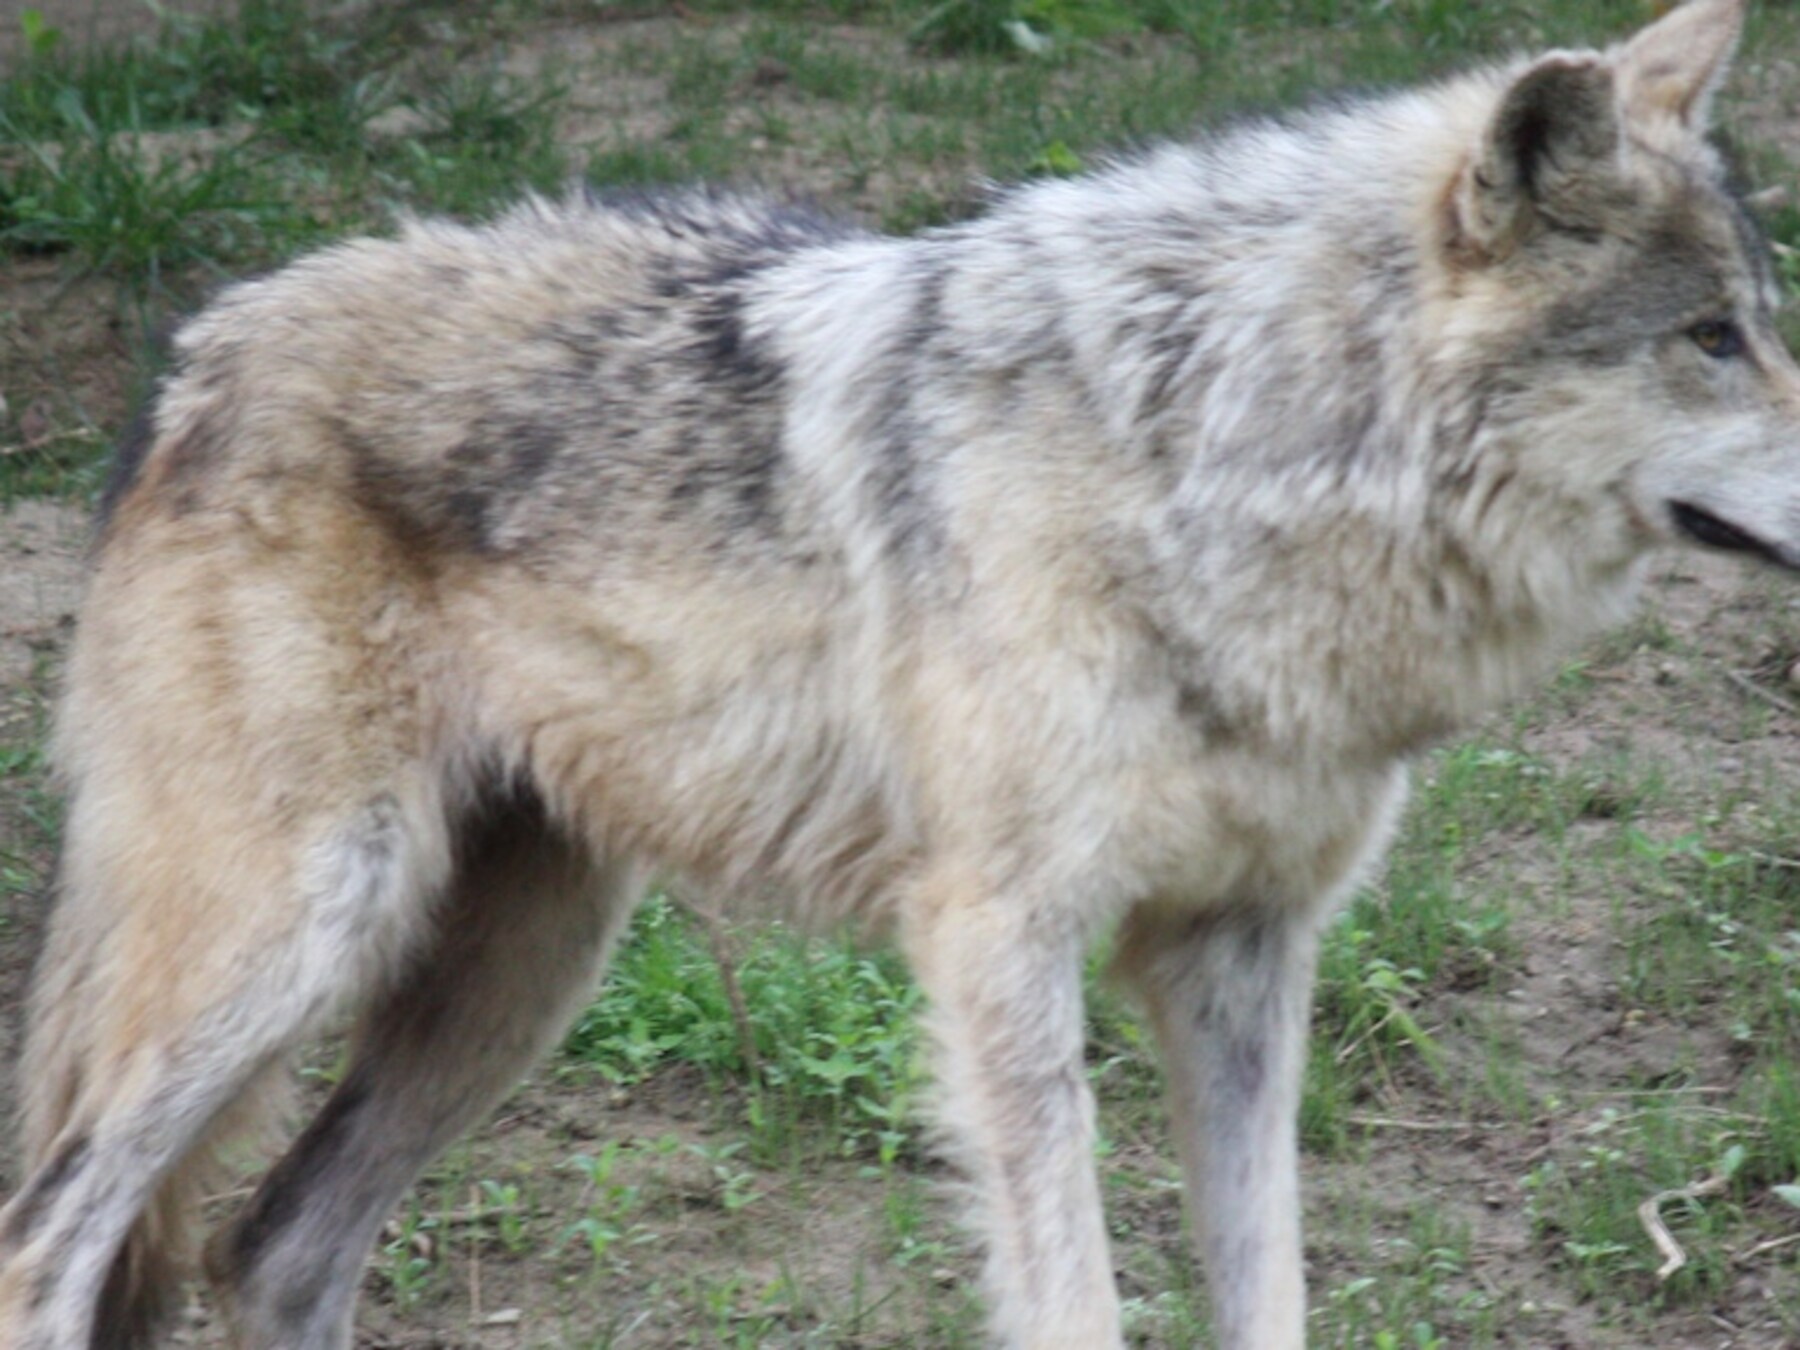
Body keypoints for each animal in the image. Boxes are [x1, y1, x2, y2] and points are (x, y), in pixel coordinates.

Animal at [1, 0, 1793, 1345]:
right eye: (1711, 338)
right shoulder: (1000, 941)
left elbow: (1268, 1288)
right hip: (296, 931)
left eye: (1761, 322)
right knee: (48, 1243)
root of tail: (196, 351)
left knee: (275, 1245)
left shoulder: (1242, 956)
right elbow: (1071, 1298)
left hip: (521, 968)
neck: (1222, 458)